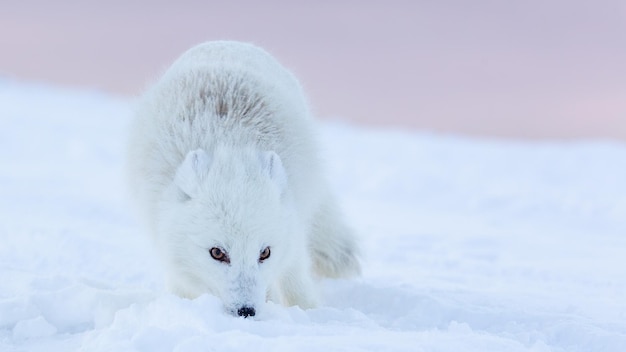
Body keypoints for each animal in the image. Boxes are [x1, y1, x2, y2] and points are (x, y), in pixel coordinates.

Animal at [126, 40, 358, 316]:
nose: (247, 311)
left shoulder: (294, 228)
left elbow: (294, 279)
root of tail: (225, 42)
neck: (229, 145)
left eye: (265, 252)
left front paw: (307, 312)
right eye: (217, 253)